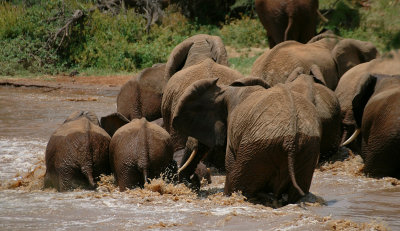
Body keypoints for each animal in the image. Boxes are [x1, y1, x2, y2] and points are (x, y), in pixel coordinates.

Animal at [173, 78, 320, 204]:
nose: (194, 179)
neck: (228, 89)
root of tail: (290, 141)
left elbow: (230, 165)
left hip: (256, 149)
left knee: (238, 183)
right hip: (307, 147)